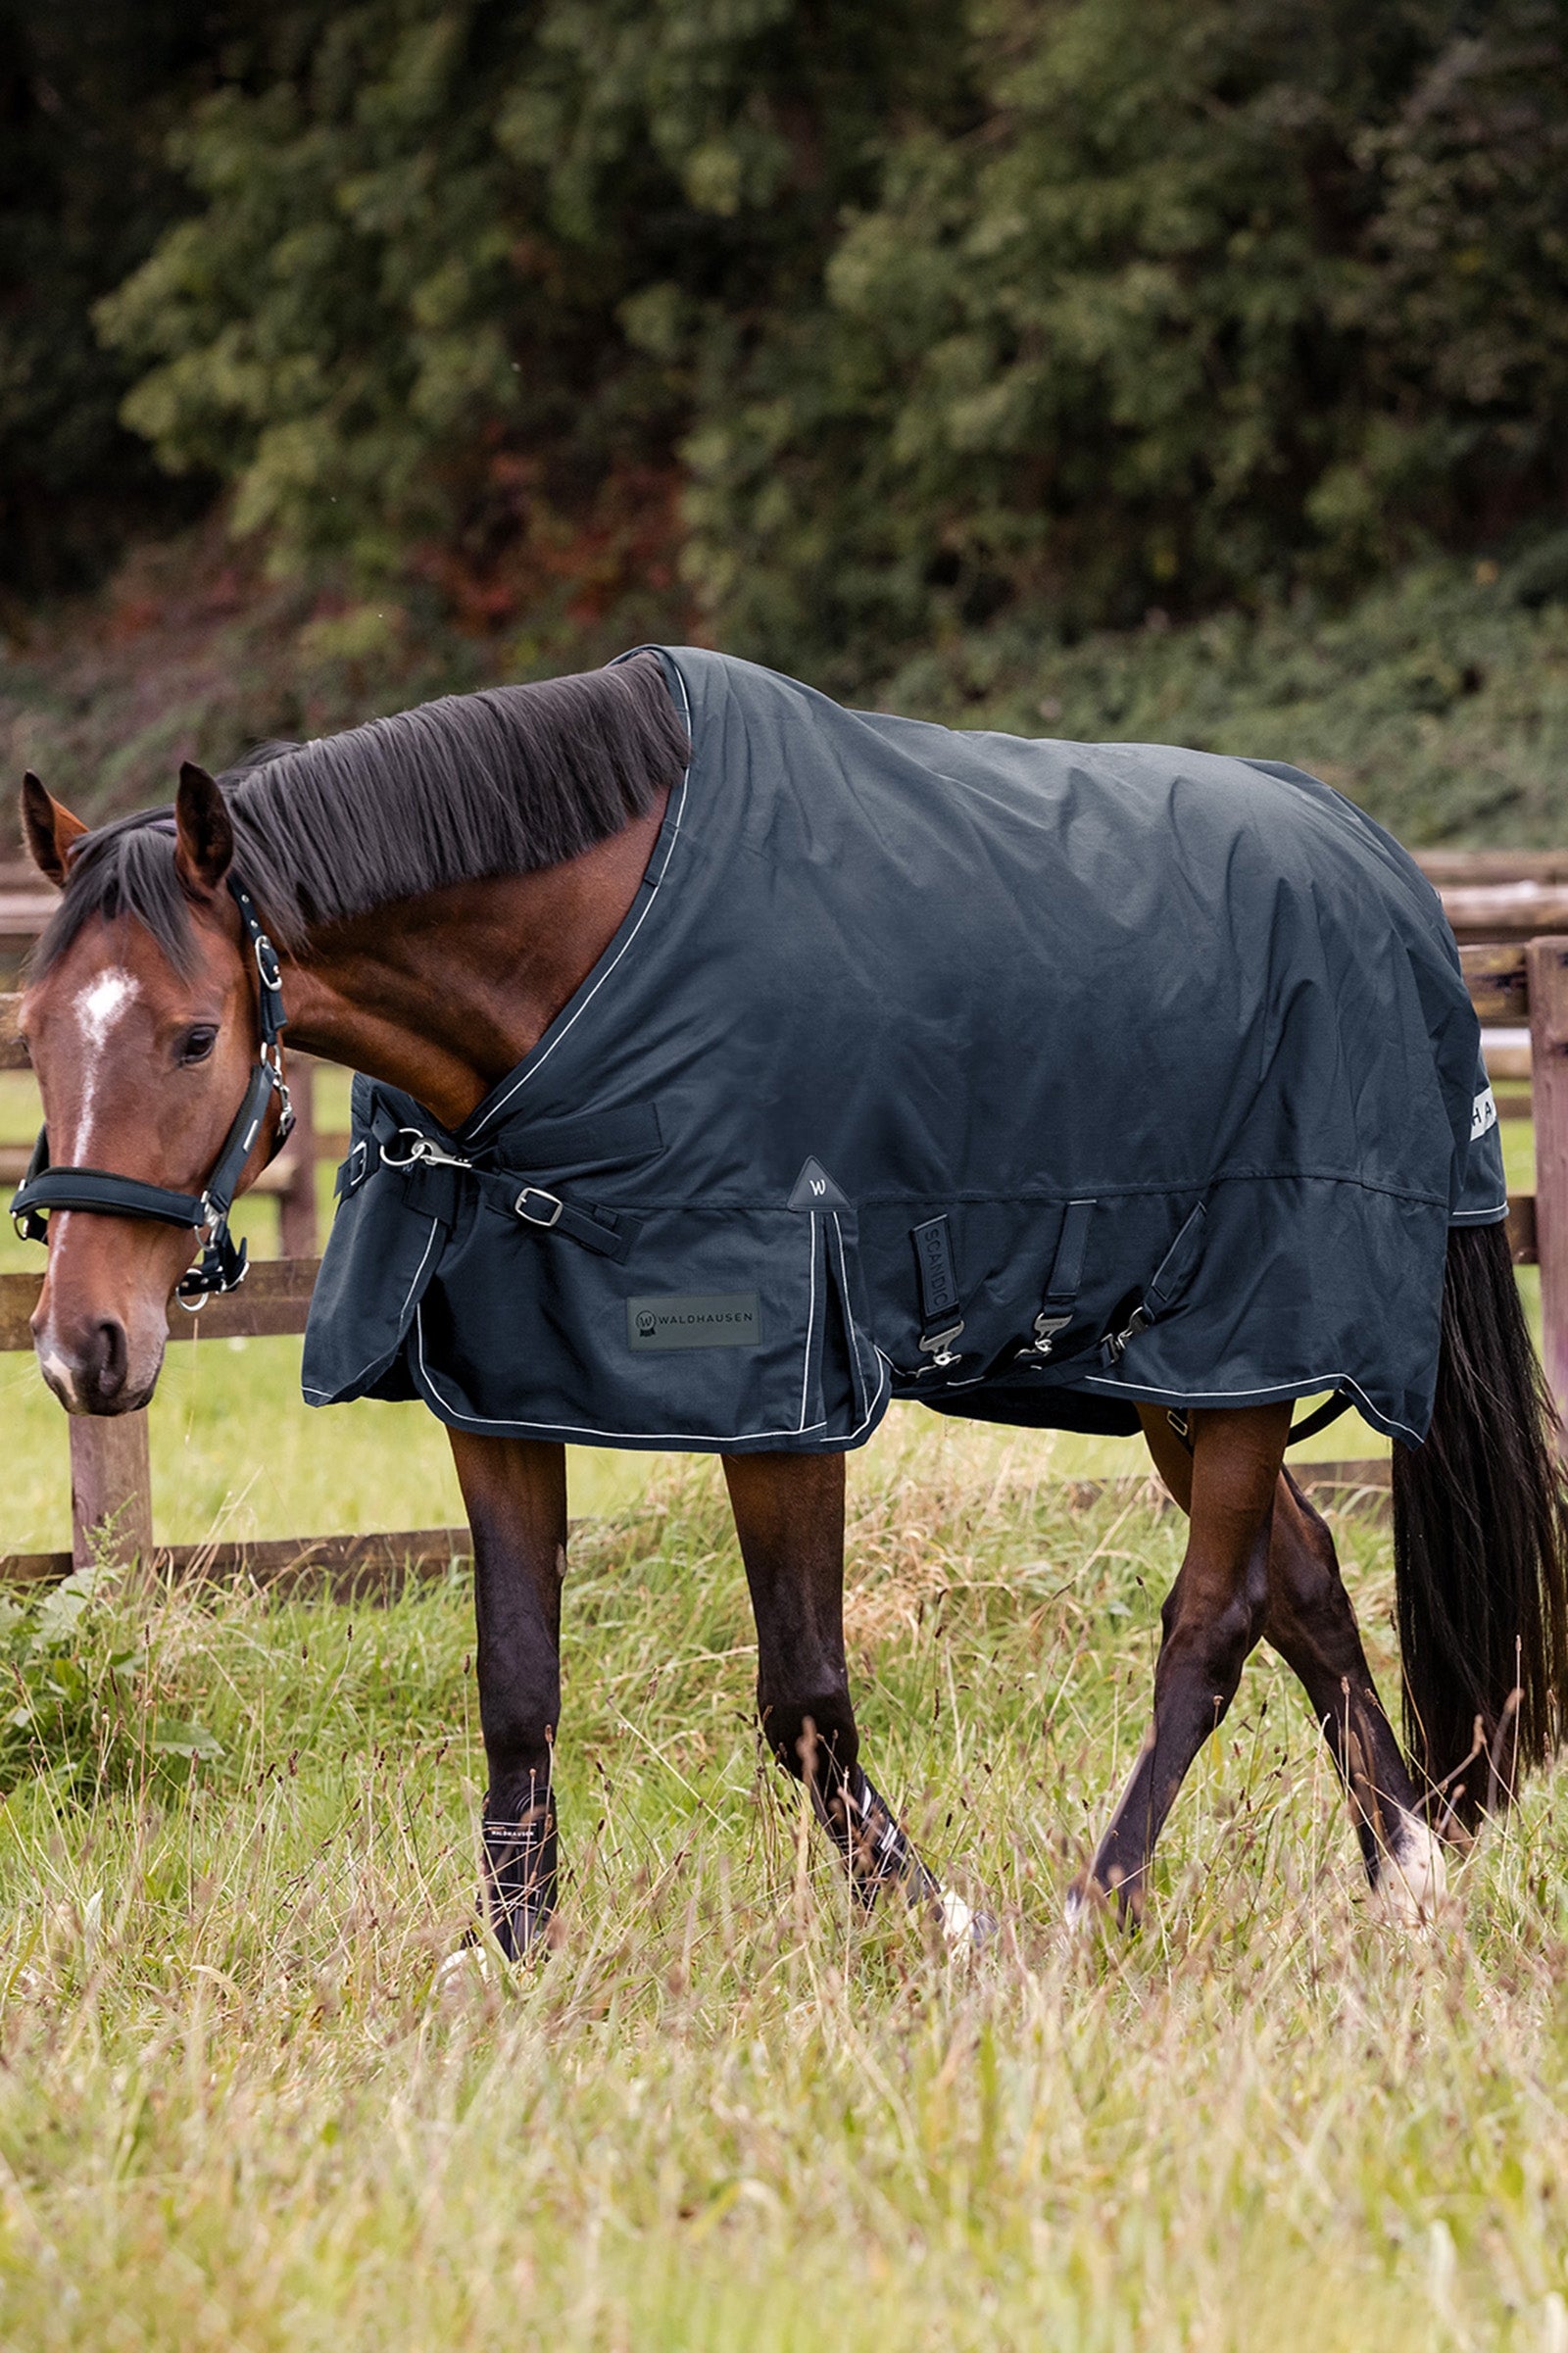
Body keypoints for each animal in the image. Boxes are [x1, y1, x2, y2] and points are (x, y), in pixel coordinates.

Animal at [14, 646, 1567, 1953]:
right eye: (33, 1029)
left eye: (194, 1035)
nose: (87, 1349)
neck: (583, 979)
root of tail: (1380, 870)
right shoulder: (499, 1386)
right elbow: (516, 1683)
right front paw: (509, 1952)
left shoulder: (784, 1397)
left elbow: (804, 1697)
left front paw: (933, 1924)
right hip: (1179, 1373)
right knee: (1301, 1578)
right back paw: (1403, 1881)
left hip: (1248, 1331)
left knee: (1215, 1621)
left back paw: (1093, 1908)